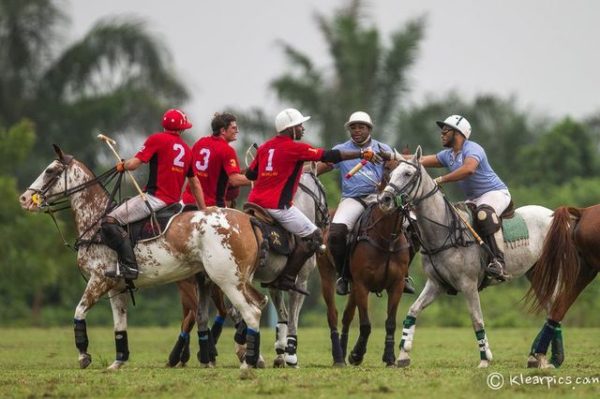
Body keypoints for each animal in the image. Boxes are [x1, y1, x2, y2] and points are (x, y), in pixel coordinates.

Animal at [18, 146, 268, 372]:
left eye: (50, 170)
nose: (24, 199)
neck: (96, 220)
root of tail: (248, 220)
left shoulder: (99, 279)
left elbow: (79, 312)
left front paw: (83, 356)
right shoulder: (116, 286)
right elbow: (120, 326)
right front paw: (117, 362)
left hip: (225, 279)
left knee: (250, 312)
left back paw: (248, 362)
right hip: (233, 279)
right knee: (254, 305)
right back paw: (248, 357)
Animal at [166, 168, 330, 368]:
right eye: (322, 189)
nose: (326, 220)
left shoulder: (274, 282)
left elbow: (282, 315)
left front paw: (280, 353)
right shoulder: (301, 281)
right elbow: (292, 318)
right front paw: (291, 356)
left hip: (211, 279)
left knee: (209, 313)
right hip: (233, 277)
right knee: (236, 309)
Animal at [378, 148, 556, 368]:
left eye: (407, 174)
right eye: (391, 174)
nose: (384, 200)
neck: (443, 232)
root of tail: (554, 214)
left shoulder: (468, 284)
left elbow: (477, 320)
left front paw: (485, 360)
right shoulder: (436, 284)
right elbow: (412, 311)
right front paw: (403, 355)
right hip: (535, 272)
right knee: (550, 307)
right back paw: (539, 358)